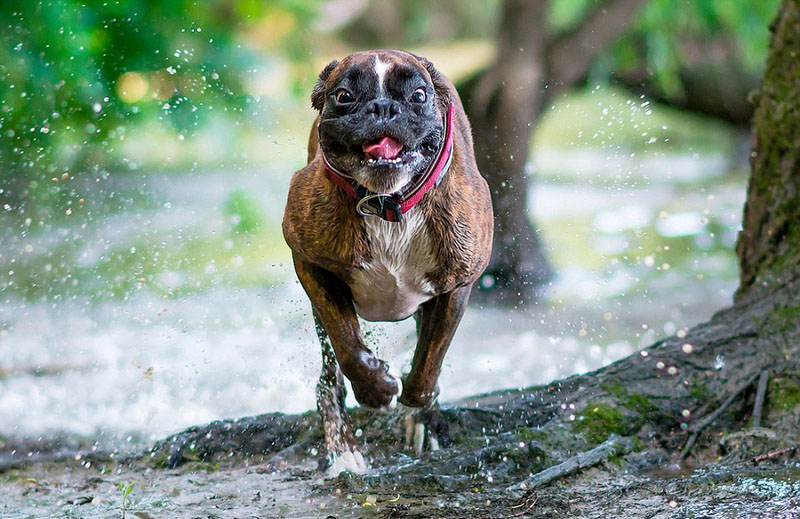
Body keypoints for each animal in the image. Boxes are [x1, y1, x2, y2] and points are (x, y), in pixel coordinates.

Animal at [282, 49, 494, 476]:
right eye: (344, 96)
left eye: (418, 96)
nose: (383, 107)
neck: (387, 205)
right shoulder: (310, 264)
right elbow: (349, 346)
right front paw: (376, 390)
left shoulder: (456, 287)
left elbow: (429, 361)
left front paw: (420, 409)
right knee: (328, 379)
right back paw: (341, 447)